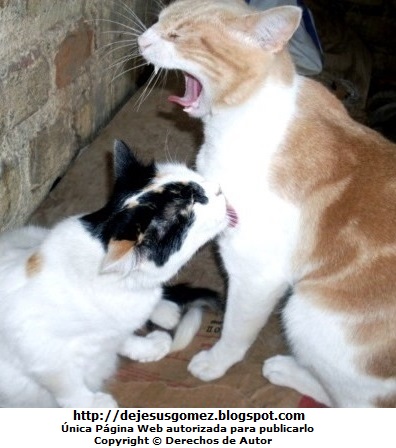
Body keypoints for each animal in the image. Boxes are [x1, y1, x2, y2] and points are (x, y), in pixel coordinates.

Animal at [0, 141, 232, 410]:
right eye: (195, 202)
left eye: (192, 175)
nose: (218, 188)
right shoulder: (40, 351)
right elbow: (65, 383)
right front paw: (92, 404)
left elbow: (122, 338)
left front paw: (145, 346)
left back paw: (165, 311)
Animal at [138, 0, 396, 406]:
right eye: (157, 20)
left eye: (177, 34)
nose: (142, 39)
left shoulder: (255, 274)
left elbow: (235, 328)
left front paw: (215, 361)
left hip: (306, 314)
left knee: (351, 402)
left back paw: (285, 369)